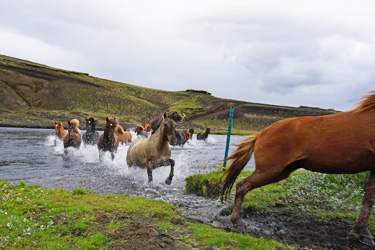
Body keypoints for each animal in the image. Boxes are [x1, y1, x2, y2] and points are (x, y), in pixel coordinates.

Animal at [222, 91, 375, 247]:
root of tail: (260, 134)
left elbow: (369, 198)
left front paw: (363, 232)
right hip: (269, 170)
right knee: (242, 185)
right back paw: (236, 220)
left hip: (280, 172)